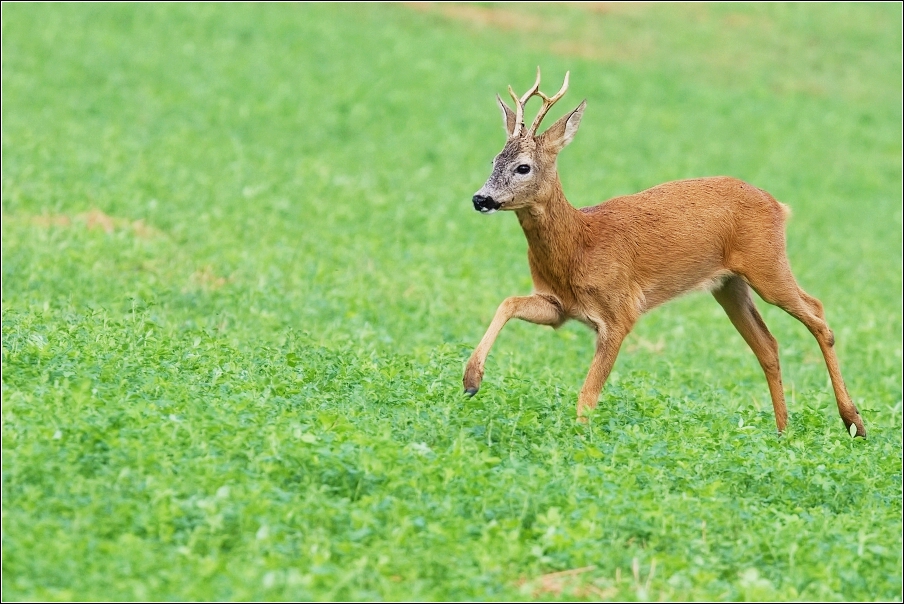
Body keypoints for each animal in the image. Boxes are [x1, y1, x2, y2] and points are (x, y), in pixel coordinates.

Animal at [466, 68, 868, 436]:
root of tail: (779, 206)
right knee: (768, 344)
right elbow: (508, 303)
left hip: (766, 264)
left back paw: (853, 422)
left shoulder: (619, 311)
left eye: (523, 167)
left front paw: (580, 440)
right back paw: (784, 432)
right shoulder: (558, 306)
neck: (580, 242)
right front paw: (471, 380)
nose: (480, 198)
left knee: (817, 315)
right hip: (728, 284)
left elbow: (587, 395)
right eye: (493, 161)